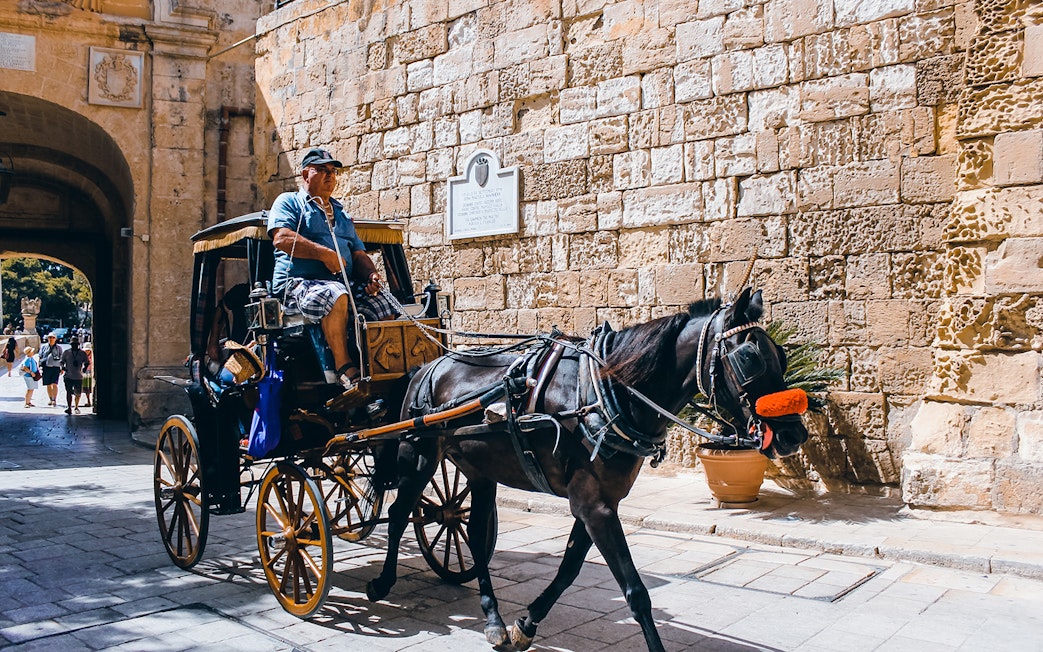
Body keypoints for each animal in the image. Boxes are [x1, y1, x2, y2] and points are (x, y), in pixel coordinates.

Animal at [365, 288, 810, 651]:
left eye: (781, 355)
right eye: (750, 358)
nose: (795, 433)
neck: (605, 395)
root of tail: (428, 366)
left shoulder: (597, 502)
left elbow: (569, 568)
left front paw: (525, 624)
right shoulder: (594, 505)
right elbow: (635, 591)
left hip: (479, 468)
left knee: (473, 533)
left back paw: (492, 619)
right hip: (417, 455)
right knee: (399, 514)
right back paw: (383, 582)